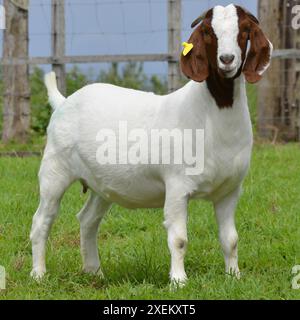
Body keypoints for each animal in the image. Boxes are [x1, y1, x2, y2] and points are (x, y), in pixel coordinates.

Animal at [29, 4, 272, 284]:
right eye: (208, 32)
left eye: (244, 30)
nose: (227, 59)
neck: (210, 115)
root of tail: (63, 101)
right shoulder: (177, 186)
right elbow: (179, 239)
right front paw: (178, 281)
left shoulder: (230, 190)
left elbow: (230, 239)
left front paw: (234, 277)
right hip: (54, 170)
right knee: (42, 221)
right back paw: (38, 274)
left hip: (102, 183)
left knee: (87, 219)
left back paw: (94, 271)